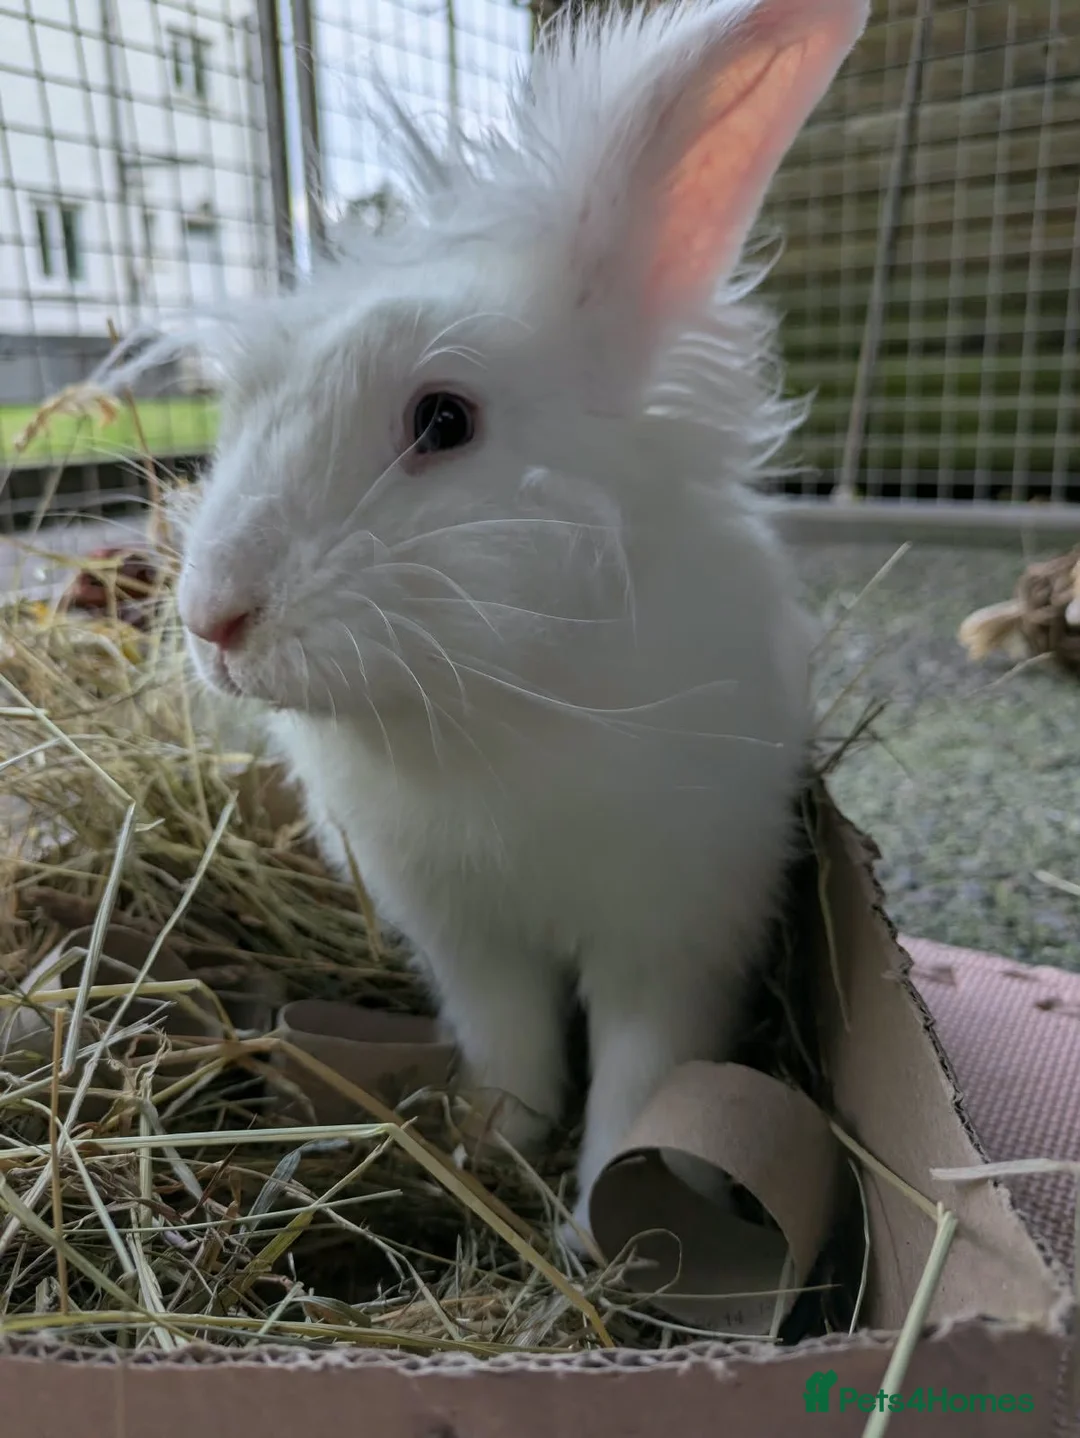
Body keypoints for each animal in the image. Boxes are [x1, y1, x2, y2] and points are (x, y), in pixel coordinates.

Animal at [119, 0, 868, 1242]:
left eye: (443, 420)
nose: (212, 616)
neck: (497, 707)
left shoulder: (678, 934)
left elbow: (641, 1074)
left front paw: (608, 1218)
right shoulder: (466, 941)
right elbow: (514, 1047)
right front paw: (490, 1144)